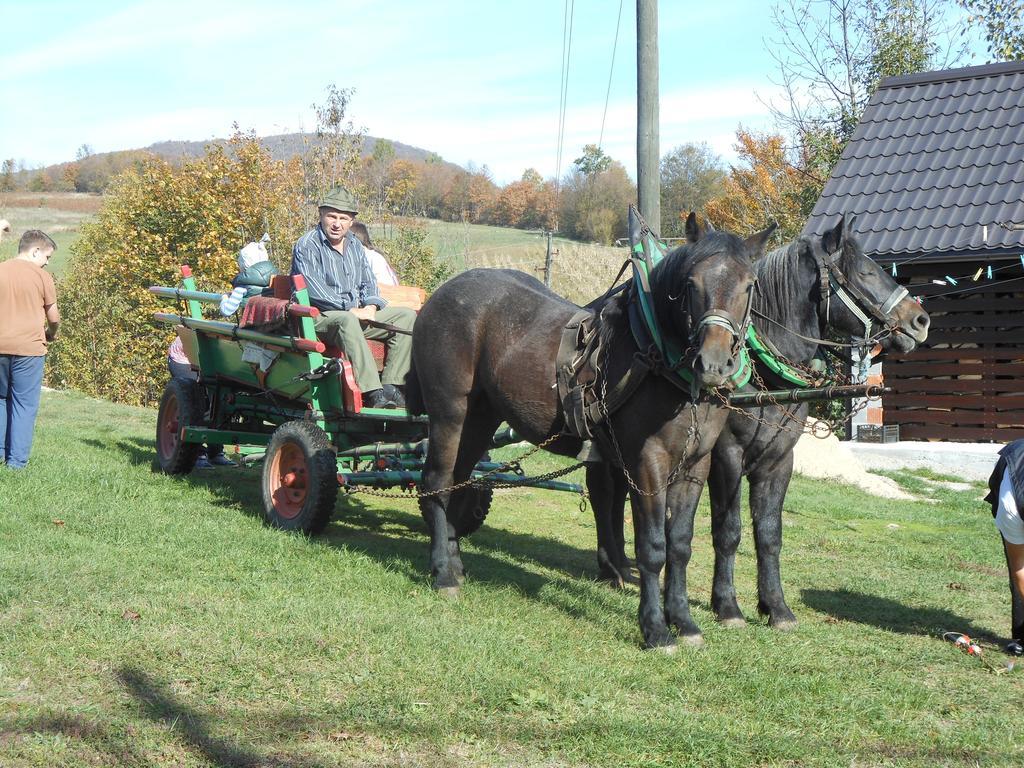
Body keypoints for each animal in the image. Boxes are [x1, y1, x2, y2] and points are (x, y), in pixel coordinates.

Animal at [407, 215, 774, 651]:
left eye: (749, 285)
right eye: (690, 283)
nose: (713, 364)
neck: (659, 362)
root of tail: (439, 296)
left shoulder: (695, 466)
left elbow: (680, 546)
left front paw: (684, 622)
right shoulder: (646, 464)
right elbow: (653, 548)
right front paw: (655, 628)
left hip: (479, 418)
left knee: (459, 481)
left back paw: (455, 564)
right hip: (450, 414)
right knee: (436, 484)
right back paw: (443, 574)